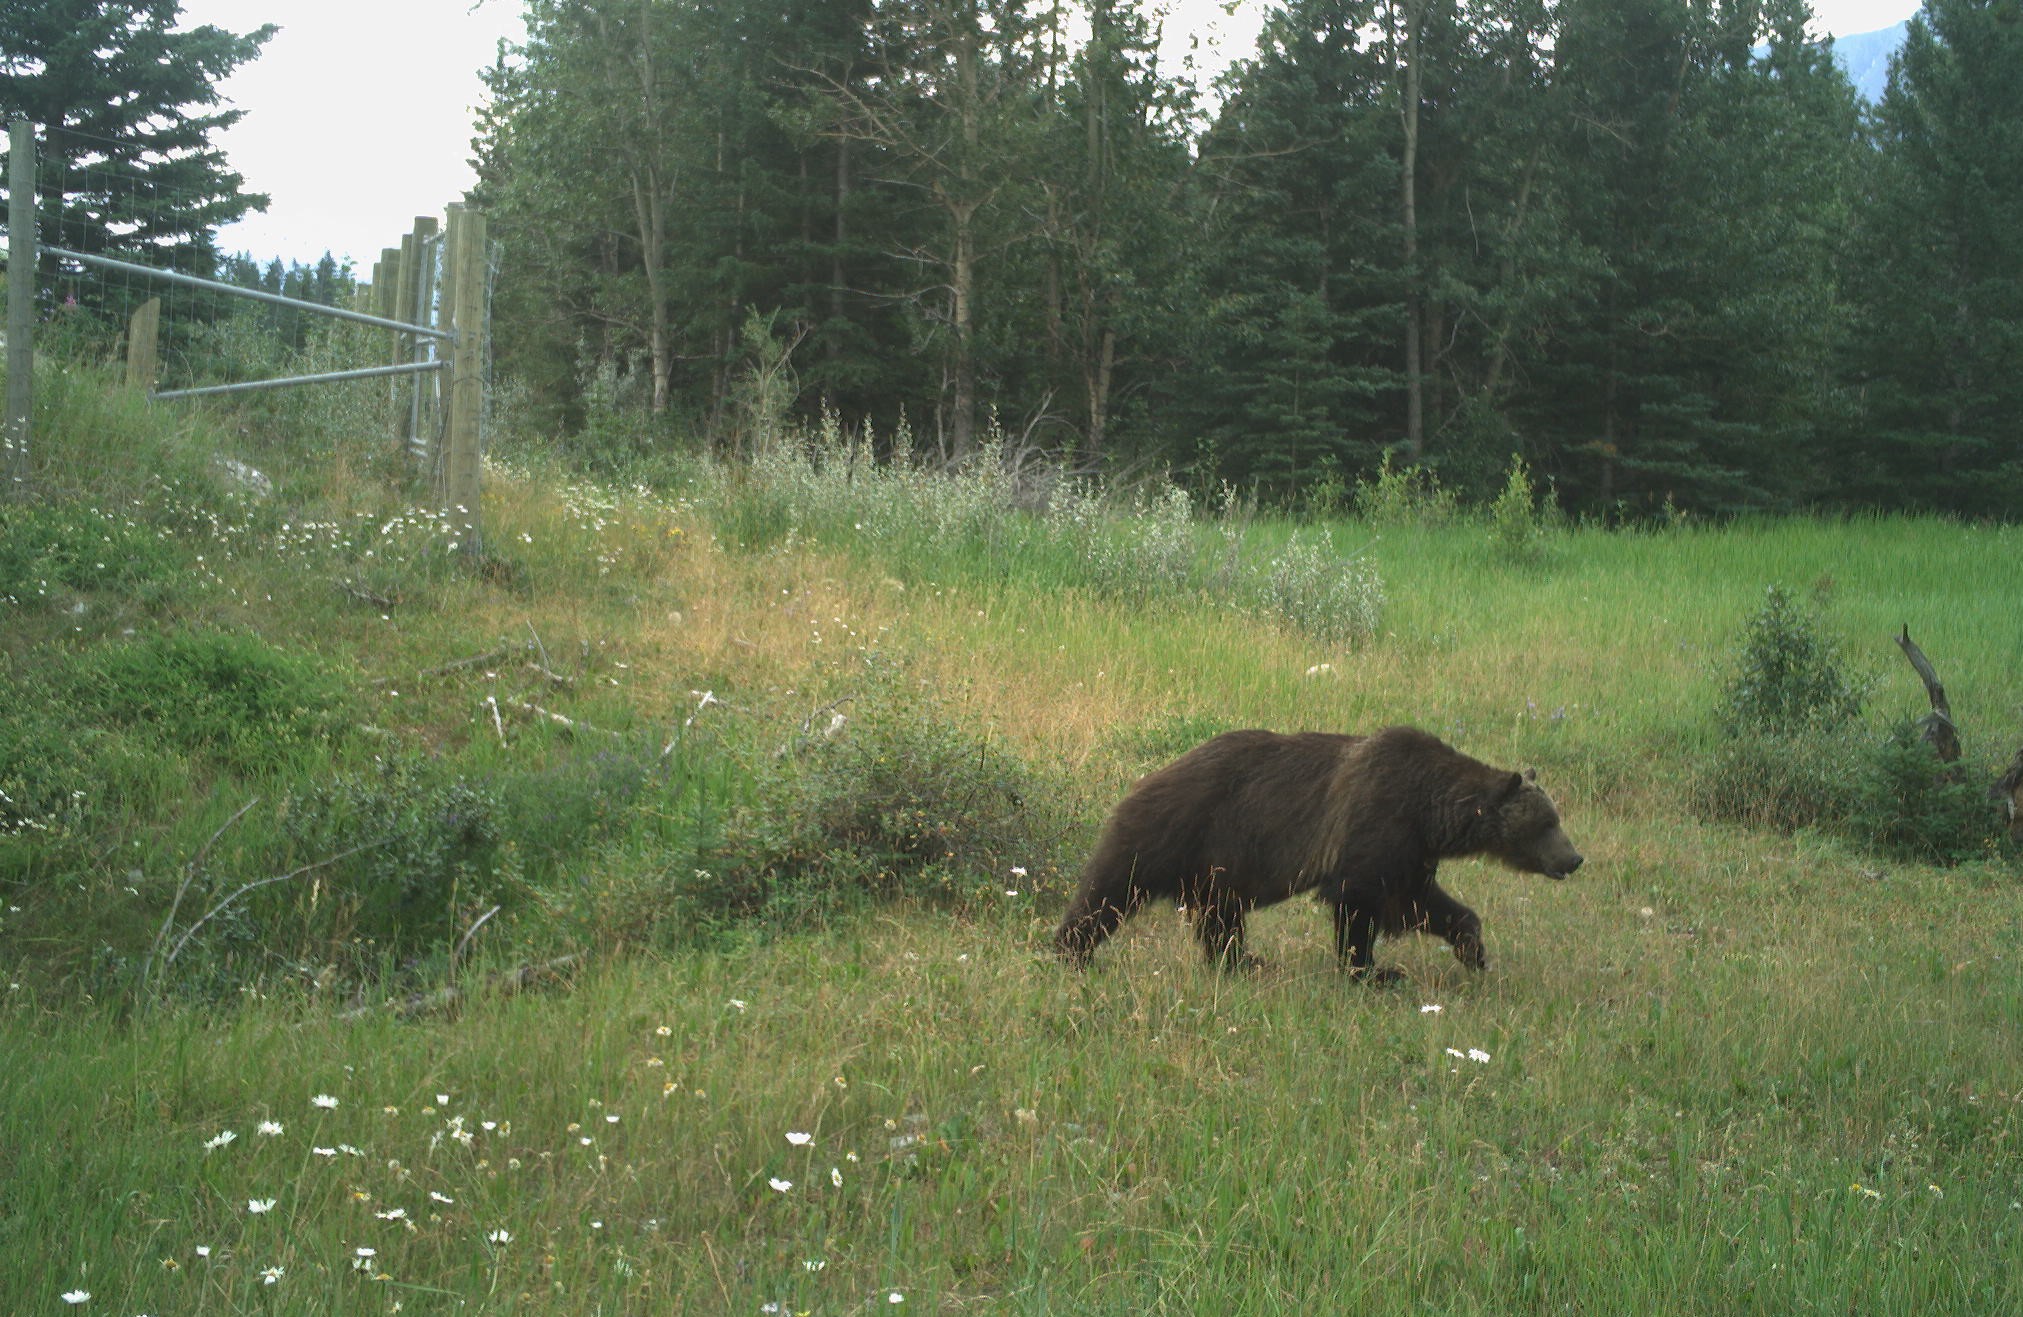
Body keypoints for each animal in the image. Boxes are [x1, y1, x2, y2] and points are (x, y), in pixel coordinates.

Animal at [1051, 732, 1586, 979]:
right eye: (1548, 823)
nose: (1575, 858)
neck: (1430, 808)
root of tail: (1144, 778)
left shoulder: (1410, 850)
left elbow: (1423, 902)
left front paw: (1473, 950)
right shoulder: (1374, 823)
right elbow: (1359, 903)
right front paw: (1374, 972)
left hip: (1217, 865)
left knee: (1220, 917)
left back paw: (1244, 962)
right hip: (1171, 831)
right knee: (1109, 891)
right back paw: (1071, 951)